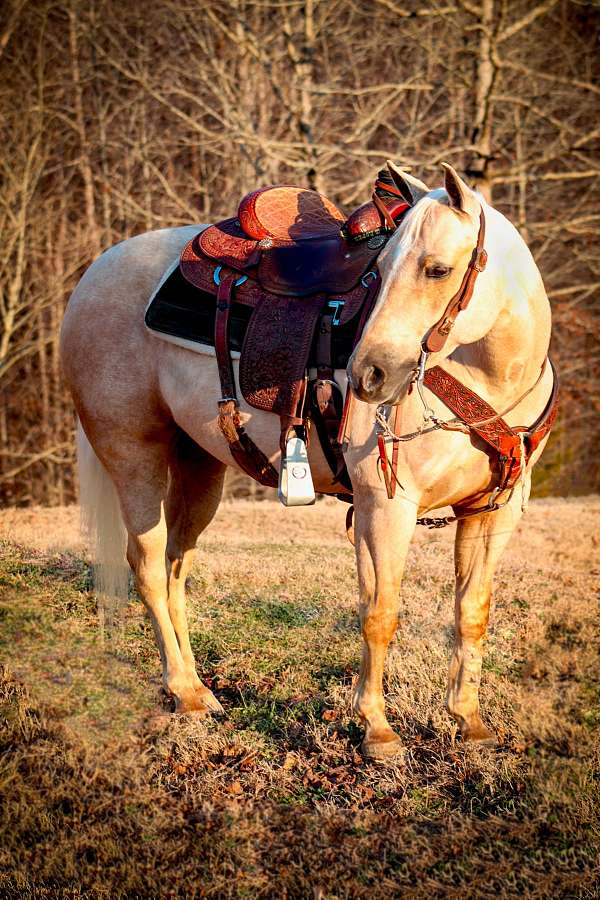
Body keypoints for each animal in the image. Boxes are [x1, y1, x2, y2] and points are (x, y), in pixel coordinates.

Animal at [60, 163, 556, 759]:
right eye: (378, 270)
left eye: (437, 269)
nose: (369, 374)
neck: (485, 375)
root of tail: (95, 272)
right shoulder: (385, 506)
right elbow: (380, 612)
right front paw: (376, 729)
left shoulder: (493, 510)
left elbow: (472, 612)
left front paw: (469, 721)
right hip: (135, 455)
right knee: (149, 567)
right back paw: (183, 693)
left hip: (200, 467)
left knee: (178, 566)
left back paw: (201, 689)